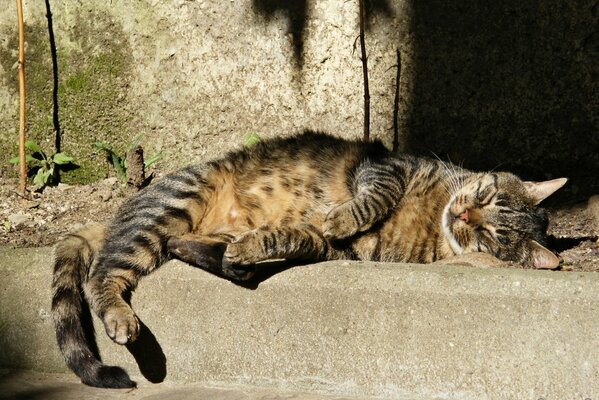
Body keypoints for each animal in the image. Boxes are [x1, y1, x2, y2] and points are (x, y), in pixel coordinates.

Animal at [51, 131, 568, 388]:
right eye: (484, 195)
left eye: (488, 235)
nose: (462, 213)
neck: (432, 220)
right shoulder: (387, 167)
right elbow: (375, 195)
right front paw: (344, 215)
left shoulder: (338, 248)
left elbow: (292, 236)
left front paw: (264, 243)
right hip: (175, 204)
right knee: (103, 274)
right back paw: (121, 316)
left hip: (186, 228)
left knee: (181, 251)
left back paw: (236, 259)